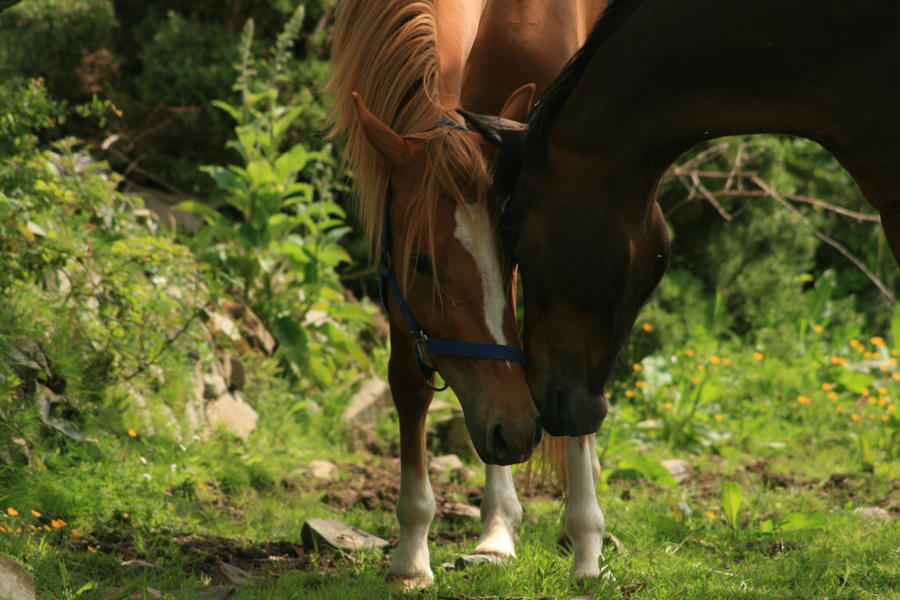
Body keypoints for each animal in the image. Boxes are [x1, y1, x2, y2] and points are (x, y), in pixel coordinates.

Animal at [326, 0, 608, 588]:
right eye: (419, 262)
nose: (518, 430)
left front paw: (587, 546)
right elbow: (409, 385)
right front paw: (412, 554)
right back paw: (498, 529)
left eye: (510, 252)